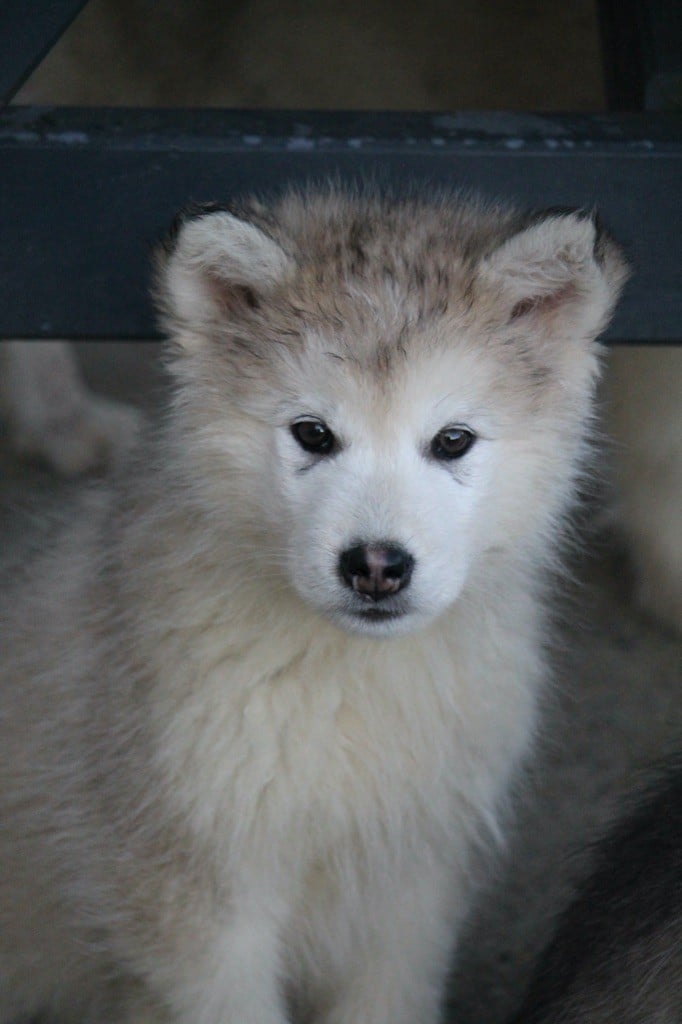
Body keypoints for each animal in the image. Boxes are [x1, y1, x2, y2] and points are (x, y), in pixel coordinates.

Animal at [0, 188, 622, 1019]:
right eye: (313, 434)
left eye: (452, 440)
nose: (376, 566)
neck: (350, 681)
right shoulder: (198, 908)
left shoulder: (412, 892)